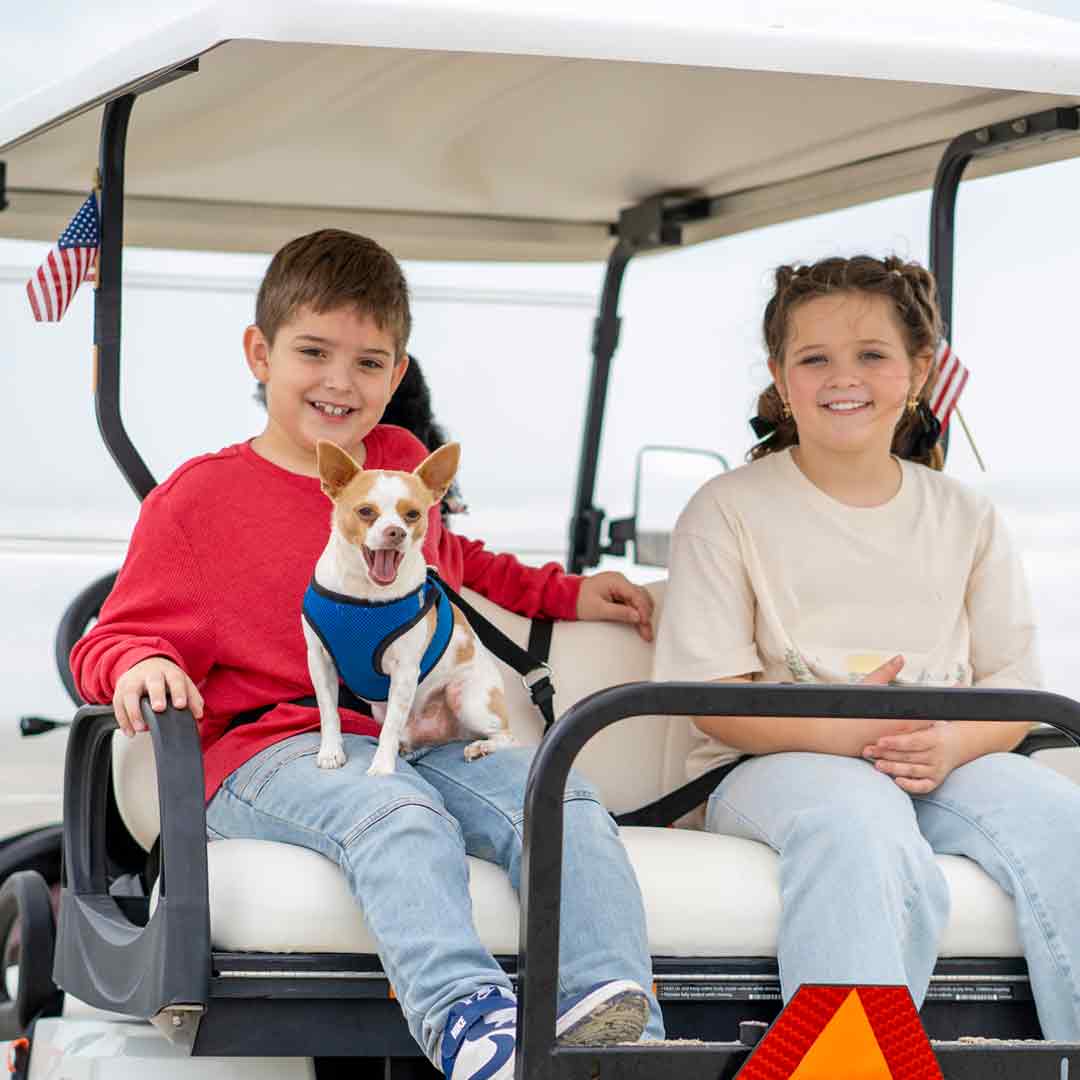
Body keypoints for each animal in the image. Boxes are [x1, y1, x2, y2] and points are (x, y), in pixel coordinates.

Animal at [298, 438, 511, 777]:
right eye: (365, 511)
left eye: (412, 514)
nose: (395, 531)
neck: (364, 598)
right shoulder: (320, 661)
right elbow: (329, 712)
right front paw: (331, 752)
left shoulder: (405, 672)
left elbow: (389, 728)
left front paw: (382, 767)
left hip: (468, 699)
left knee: (507, 735)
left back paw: (481, 747)